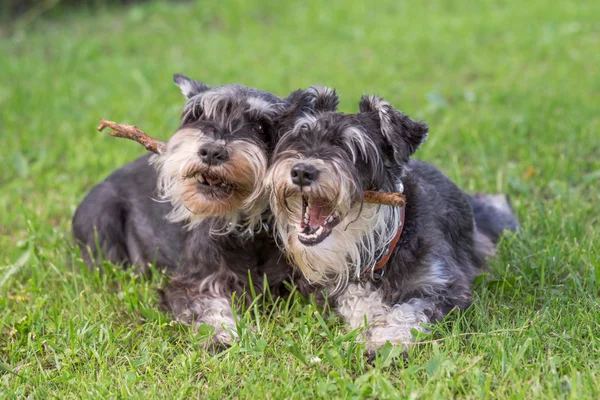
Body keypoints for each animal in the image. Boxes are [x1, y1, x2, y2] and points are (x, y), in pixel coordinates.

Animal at [264, 90, 516, 350]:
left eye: (354, 148)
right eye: (299, 138)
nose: (302, 172)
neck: (382, 246)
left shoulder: (443, 285)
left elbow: (410, 310)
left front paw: (388, 340)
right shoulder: (339, 283)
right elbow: (359, 299)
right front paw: (372, 321)